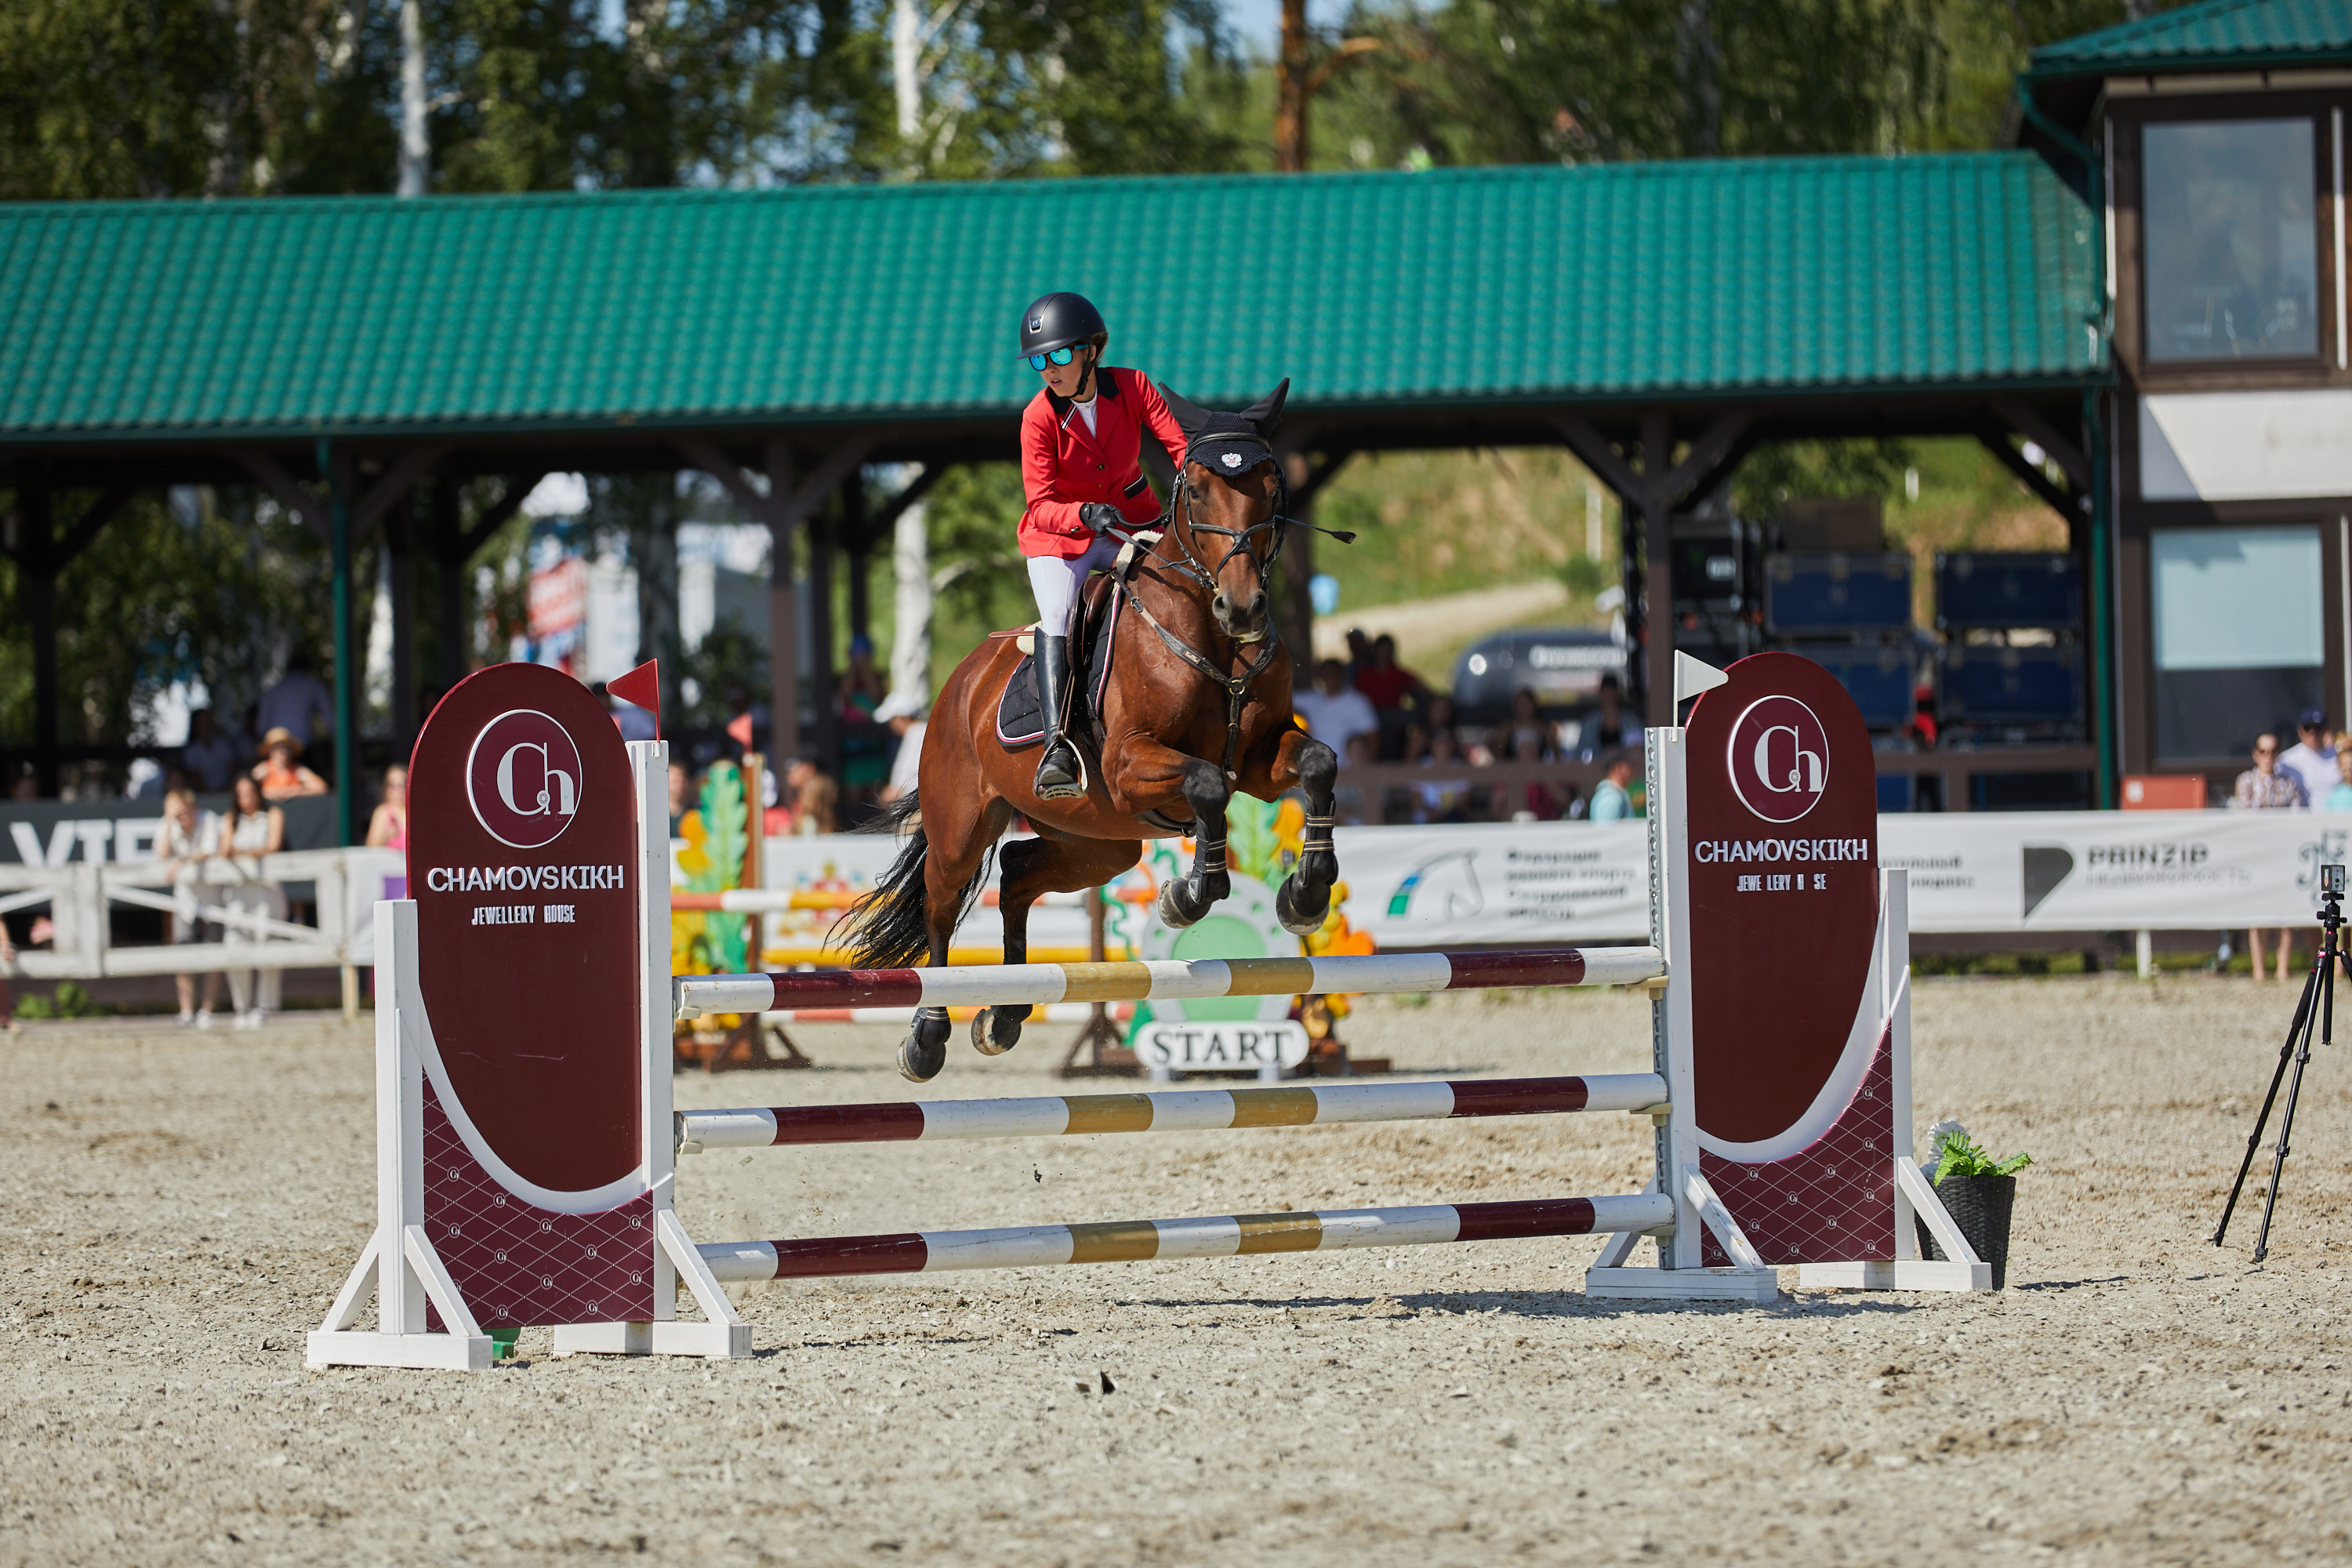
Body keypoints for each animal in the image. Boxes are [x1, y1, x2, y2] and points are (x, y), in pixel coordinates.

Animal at [845, 380, 1343, 1082]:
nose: (1243, 608)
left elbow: (1318, 765)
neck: (1210, 633)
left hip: (1099, 843)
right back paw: (927, 1037)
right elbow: (1208, 785)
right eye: (1196, 491)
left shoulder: (1263, 759)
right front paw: (1188, 895)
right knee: (941, 906)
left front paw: (1304, 896)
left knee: (1018, 873)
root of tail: (959, 682)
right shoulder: (1131, 765)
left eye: (1272, 486)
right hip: (962, 829)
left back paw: (1003, 1016)